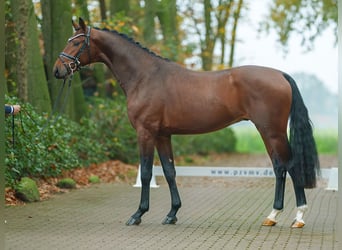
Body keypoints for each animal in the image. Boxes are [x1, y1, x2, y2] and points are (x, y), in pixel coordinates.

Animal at [52, 17, 320, 229]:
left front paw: (138, 214)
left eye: (76, 41)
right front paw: (172, 214)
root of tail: (280, 75)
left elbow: (147, 173)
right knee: (280, 168)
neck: (145, 76)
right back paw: (273, 216)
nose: (57, 70)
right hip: (269, 132)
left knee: (289, 166)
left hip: (271, 131)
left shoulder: (145, 132)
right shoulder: (163, 135)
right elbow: (169, 171)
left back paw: (297, 217)